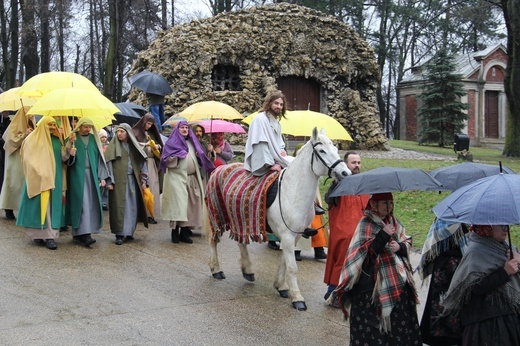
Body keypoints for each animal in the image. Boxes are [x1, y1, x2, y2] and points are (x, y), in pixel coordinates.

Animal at [203, 127, 350, 310]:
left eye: (336, 149)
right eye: (322, 151)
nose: (345, 173)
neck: (292, 191)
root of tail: (219, 169)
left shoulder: (294, 236)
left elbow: (284, 262)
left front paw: (281, 286)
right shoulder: (287, 236)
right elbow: (292, 267)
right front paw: (298, 298)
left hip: (240, 217)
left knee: (241, 241)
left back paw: (248, 270)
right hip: (217, 215)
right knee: (213, 240)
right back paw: (216, 270)